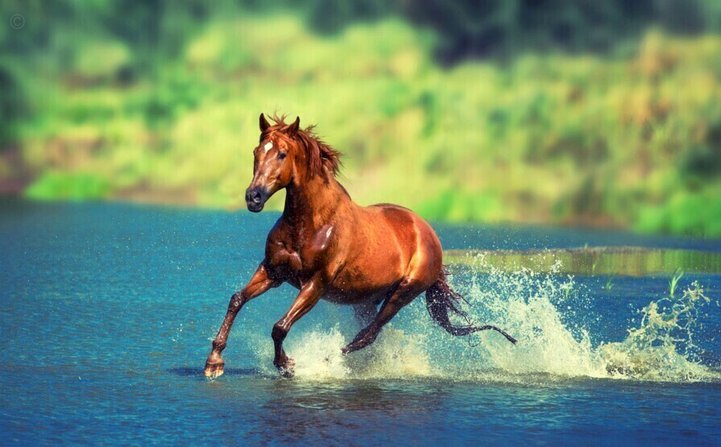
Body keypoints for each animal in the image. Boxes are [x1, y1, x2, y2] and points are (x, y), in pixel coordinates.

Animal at [204, 114, 516, 378]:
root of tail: (429, 234)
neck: (311, 224)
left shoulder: (315, 284)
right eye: (256, 152)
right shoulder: (273, 271)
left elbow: (280, 327)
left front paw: (287, 365)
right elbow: (237, 299)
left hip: (403, 293)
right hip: (367, 299)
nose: (253, 197)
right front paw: (214, 363)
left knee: (368, 334)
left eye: (282, 153)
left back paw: (328, 361)